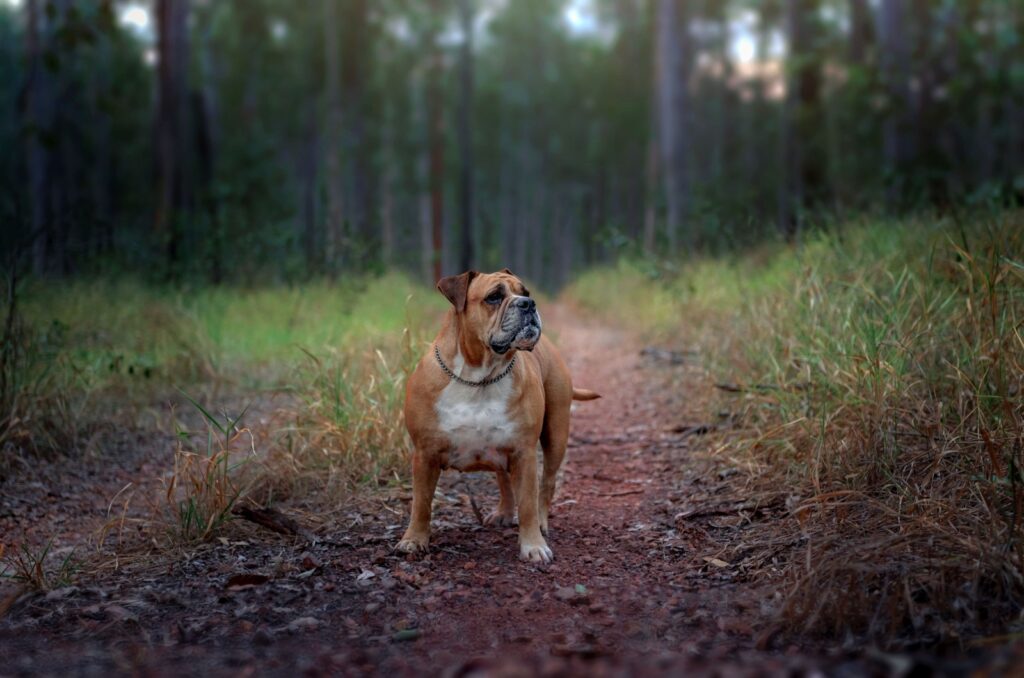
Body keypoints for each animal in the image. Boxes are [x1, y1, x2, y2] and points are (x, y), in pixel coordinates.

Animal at [393, 270, 598, 561]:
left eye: (525, 292)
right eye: (494, 297)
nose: (528, 303)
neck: (478, 376)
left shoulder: (524, 452)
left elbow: (528, 503)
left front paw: (533, 545)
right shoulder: (425, 453)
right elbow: (421, 502)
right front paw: (413, 540)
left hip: (555, 435)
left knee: (546, 483)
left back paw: (542, 522)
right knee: (504, 480)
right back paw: (503, 513)